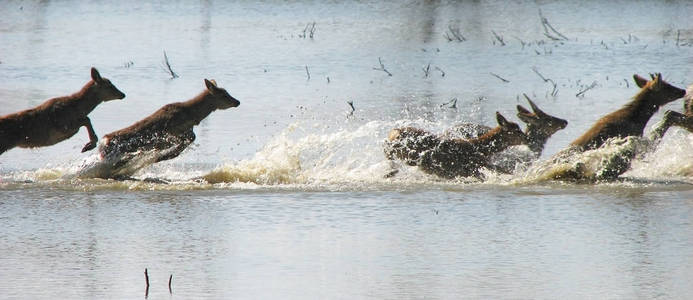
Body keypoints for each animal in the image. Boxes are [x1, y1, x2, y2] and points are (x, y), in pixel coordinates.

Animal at [90, 78, 241, 179]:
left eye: (227, 92)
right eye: (224, 95)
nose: (237, 102)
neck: (192, 115)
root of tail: (103, 141)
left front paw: (164, 155)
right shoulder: (171, 130)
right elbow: (187, 140)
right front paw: (165, 155)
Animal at [384, 112, 524, 178]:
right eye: (516, 130)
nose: (527, 138)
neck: (479, 148)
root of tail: (392, 132)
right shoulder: (471, 167)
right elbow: (502, 170)